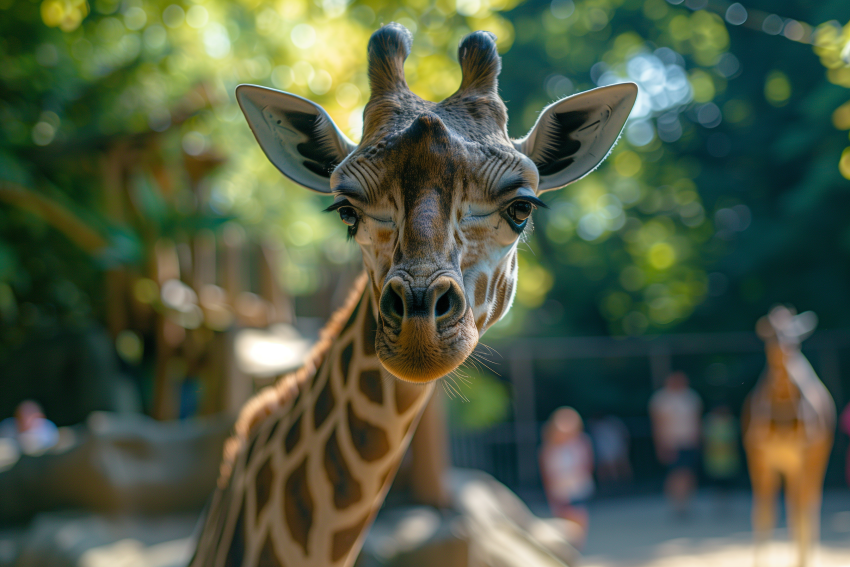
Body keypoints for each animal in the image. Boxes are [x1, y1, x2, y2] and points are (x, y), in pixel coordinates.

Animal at [743, 305, 836, 567]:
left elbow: (801, 511)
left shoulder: (807, 453)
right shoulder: (758, 456)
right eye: (772, 332)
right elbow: (763, 513)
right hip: (787, 465)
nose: (788, 347)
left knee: (808, 504)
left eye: (797, 334)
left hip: (815, 458)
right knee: (793, 505)